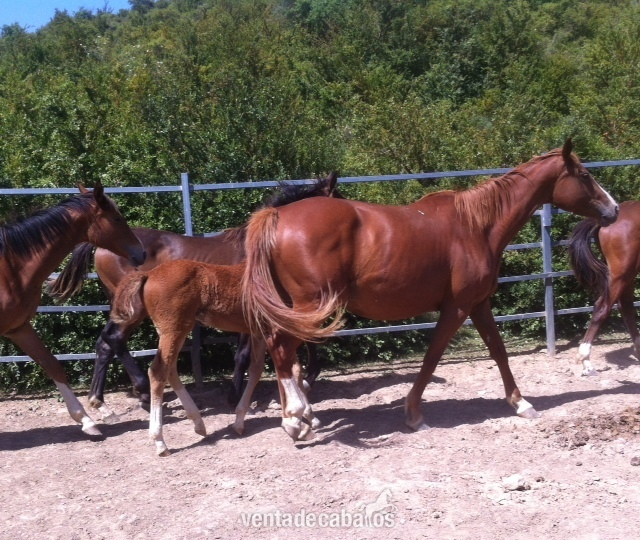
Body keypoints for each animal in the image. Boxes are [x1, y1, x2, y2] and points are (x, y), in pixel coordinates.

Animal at [0, 182, 145, 437]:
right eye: (117, 218)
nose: (141, 252)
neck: (10, 269)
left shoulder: (18, 328)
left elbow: (52, 365)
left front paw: (86, 421)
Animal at [46, 174, 340, 418]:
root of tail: (100, 246)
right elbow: (246, 354)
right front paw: (237, 396)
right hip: (134, 309)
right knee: (114, 340)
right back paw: (142, 393)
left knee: (105, 343)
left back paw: (100, 400)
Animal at [108, 259, 315, 456]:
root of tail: (149, 274)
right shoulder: (275, 332)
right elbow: (287, 369)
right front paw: (297, 420)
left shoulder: (259, 333)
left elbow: (262, 370)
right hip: (174, 330)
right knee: (158, 372)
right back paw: (160, 442)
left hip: (173, 331)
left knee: (170, 369)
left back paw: (198, 424)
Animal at [241, 139, 619, 441]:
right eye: (584, 175)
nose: (613, 209)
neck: (477, 226)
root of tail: (277, 217)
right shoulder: (457, 307)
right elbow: (433, 355)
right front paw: (413, 414)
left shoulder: (479, 305)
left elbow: (498, 351)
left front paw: (520, 402)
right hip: (309, 308)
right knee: (281, 349)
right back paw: (295, 421)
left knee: (280, 352)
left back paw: (299, 417)